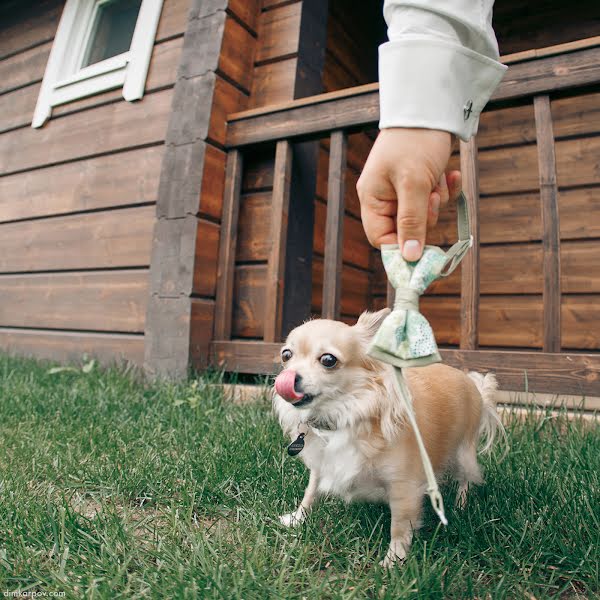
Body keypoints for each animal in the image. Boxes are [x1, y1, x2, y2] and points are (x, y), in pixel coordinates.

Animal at [274, 310, 504, 568]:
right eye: (286, 355)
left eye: (328, 360)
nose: (287, 377)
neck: (344, 414)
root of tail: (472, 383)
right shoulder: (323, 463)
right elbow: (310, 492)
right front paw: (297, 518)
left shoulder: (405, 487)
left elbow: (400, 527)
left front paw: (393, 562)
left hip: (463, 454)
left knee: (466, 480)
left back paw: (461, 506)